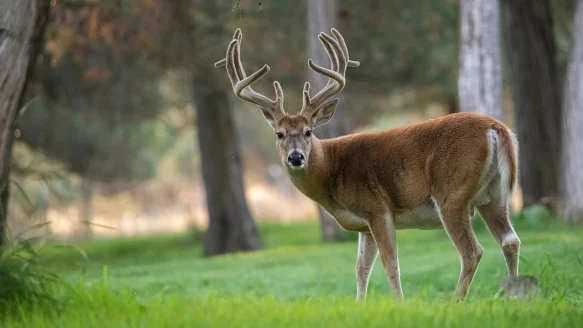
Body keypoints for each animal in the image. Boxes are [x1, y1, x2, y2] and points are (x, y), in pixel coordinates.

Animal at [213, 28, 520, 302]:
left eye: (308, 131)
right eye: (279, 134)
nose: (296, 157)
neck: (330, 171)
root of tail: (496, 128)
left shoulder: (377, 208)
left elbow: (390, 262)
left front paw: (399, 303)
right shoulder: (363, 224)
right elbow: (361, 269)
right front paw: (359, 305)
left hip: (452, 193)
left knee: (472, 251)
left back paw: (457, 300)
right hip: (493, 195)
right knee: (510, 240)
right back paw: (512, 295)